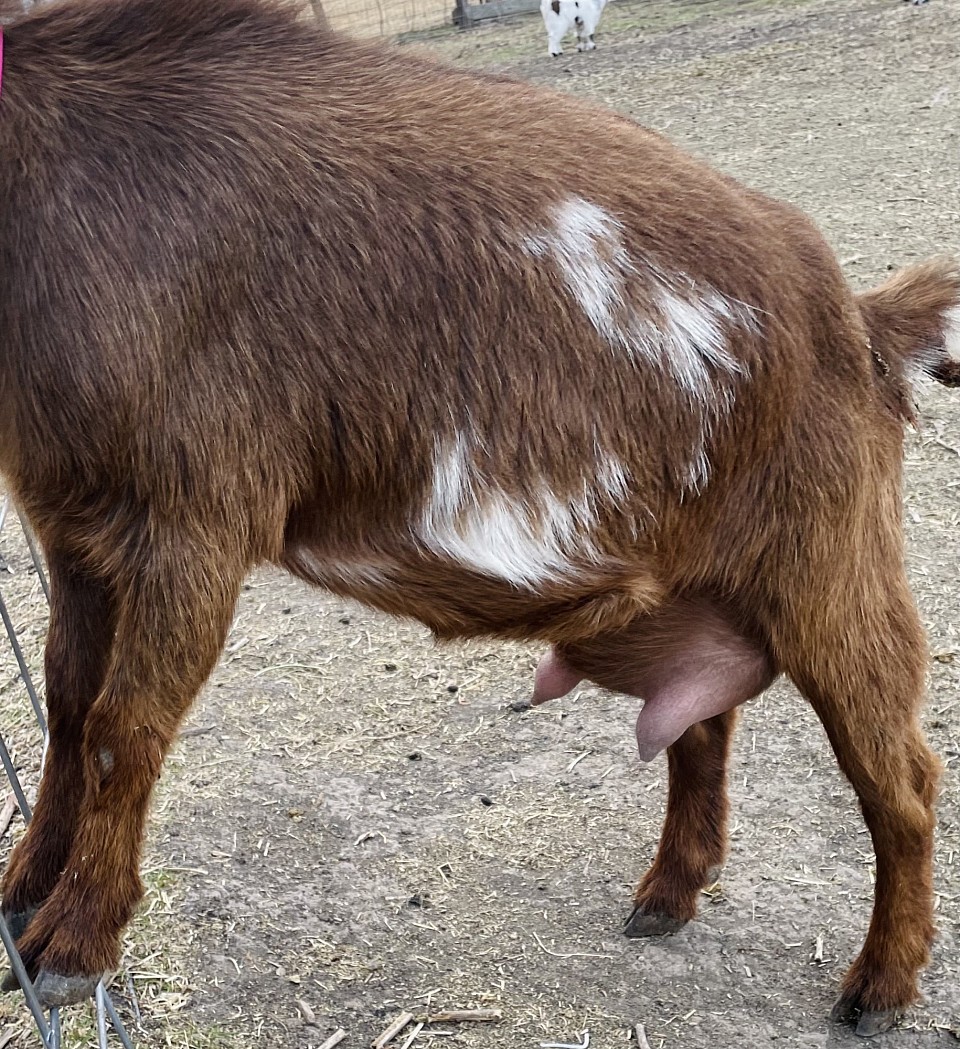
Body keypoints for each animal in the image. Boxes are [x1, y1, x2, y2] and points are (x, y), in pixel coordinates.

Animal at [0, 0, 956, 1035]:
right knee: (706, 722)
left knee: (901, 777)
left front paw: (70, 944)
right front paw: (20, 891)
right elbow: (64, 700)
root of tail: (865, 322)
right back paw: (667, 894)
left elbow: (120, 725)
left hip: (835, 564)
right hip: (688, 588)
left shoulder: (193, 519)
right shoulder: (70, 525)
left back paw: (880, 984)